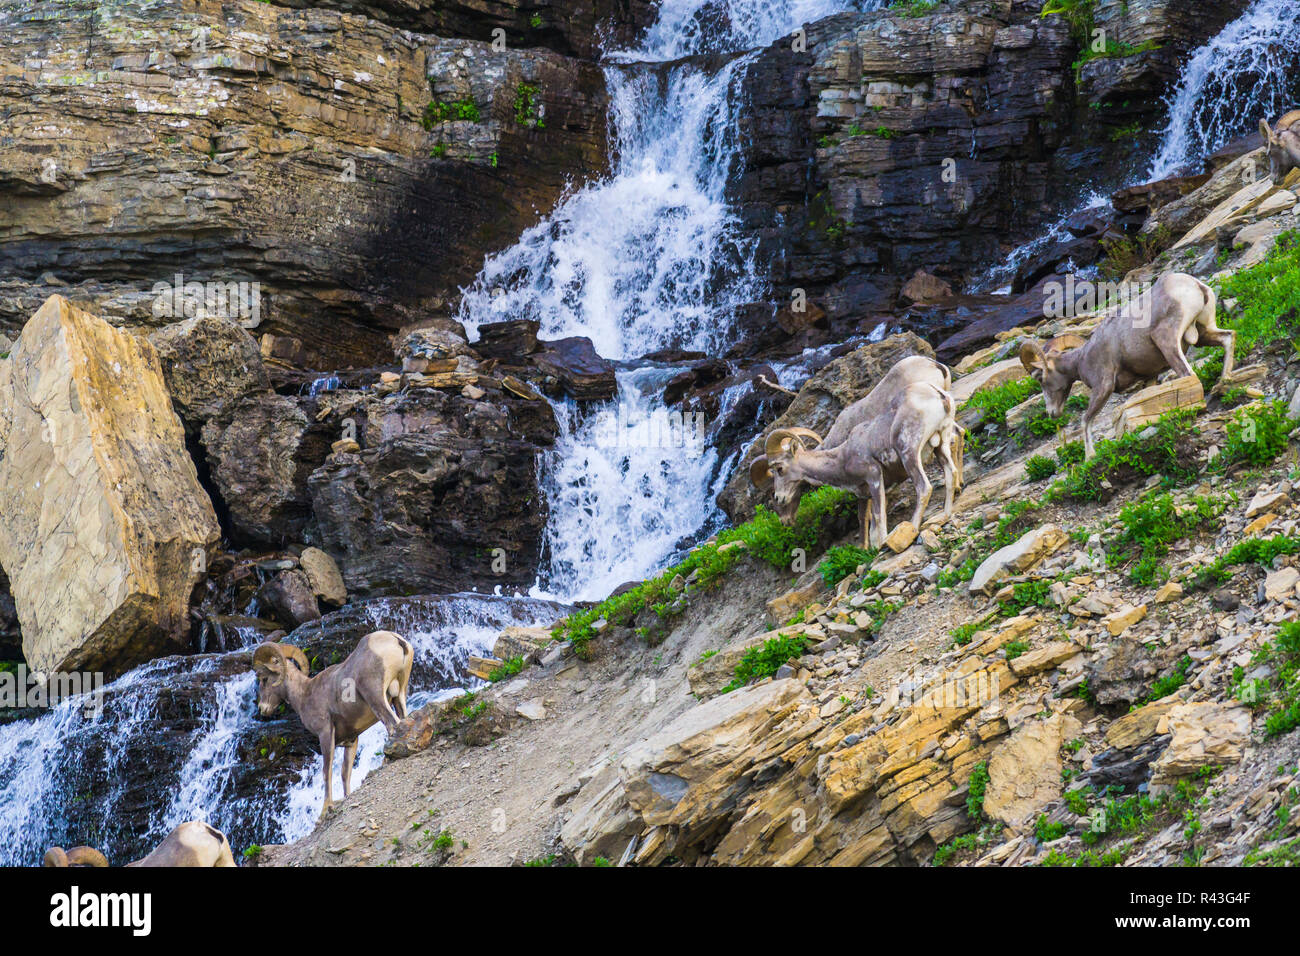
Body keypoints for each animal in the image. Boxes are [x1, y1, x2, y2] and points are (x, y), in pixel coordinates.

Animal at [252, 630, 414, 819]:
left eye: (264, 679)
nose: (262, 709)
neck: (304, 694)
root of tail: (396, 640)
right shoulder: (351, 740)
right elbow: (345, 773)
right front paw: (346, 797)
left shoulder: (325, 734)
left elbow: (326, 771)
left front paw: (325, 810)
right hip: (399, 695)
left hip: (376, 697)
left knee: (393, 724)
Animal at [753, 381, 962, 550]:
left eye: (779, 468)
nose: (779, 498)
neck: (842, 458)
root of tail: (937, 394)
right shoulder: (863, 495)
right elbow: (866, 523)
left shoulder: (874, 477)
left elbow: (879, 515)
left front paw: (882, 544)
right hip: (941, 446)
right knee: (951, 473)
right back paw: (943, 516)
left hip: (909, 454)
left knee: (923, 487)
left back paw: (913, 526)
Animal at [1019, 271, 1234, 459]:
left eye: (1040, 378)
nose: (1052, 413)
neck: (1082, 358)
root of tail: (1196, 285)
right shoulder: (1150, 378)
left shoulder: (1103, 386)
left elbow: (1086, 420)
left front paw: (1089, 457)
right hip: (1204, 333)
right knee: (1228, 338)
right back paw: (1223, 383)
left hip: (1167, 341)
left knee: (1187, 373)